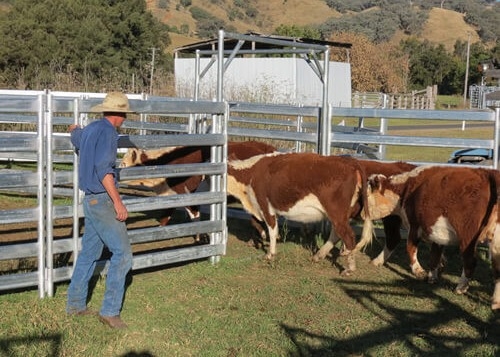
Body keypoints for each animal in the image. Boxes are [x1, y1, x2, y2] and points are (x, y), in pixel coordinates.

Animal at [227, 150, 372, 276]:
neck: (249, 174)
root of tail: (349, 162)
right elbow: (255, 221)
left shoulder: (265, 206)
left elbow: (272, 230)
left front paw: (270, 253)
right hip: (341, 214)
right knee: (336, 234)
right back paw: (318, 256)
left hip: (337, 212)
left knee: (348, 237)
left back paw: (349, 269)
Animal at [362, 165, 500, 308]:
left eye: (367, 195)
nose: (361, 214)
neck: (407, 188)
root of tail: (488, 173)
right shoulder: (437, 235)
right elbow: (434, 256)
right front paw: (432, 276)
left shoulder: (415, 225)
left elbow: (410, 248)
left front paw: (419, 271)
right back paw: (496, 302)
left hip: (467, 235)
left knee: (470, 261)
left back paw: (461, 287)